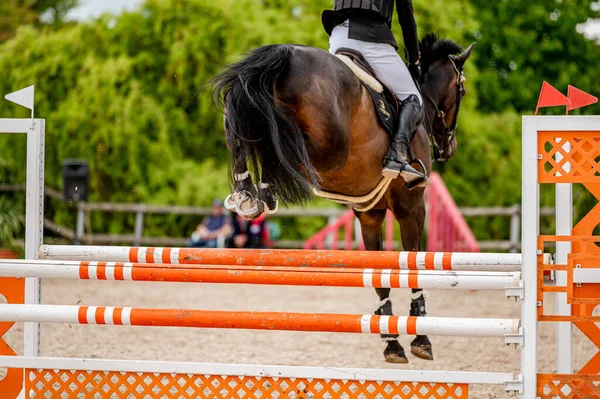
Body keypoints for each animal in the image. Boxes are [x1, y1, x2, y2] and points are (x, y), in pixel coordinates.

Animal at [213, 33, 476, 366]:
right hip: (329, 148)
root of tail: (284, 54)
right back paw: (261, 187)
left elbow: (379, 277)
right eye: (461, 89)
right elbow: (413, 266)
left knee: (238, 131)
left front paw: (392, 342)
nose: (449, 147)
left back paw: (248, 192)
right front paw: (421, 338)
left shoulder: (370, 215)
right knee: (281, 143)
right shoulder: (412, 207)